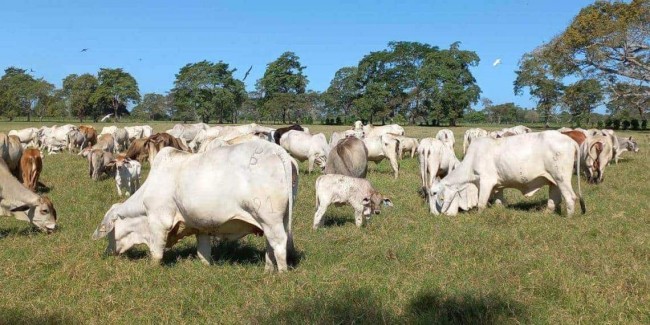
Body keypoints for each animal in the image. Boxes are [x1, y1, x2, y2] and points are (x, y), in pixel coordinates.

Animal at [90, 141, 294, 270]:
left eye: (110, 233)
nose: (109, 252)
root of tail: (276, 150)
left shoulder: (159, 221)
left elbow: (156, 253)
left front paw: (152, 268)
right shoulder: (201, 227)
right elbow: (203, 253)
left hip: (270, 218)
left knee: (279, 243)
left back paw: (281, 274)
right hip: (275, 221)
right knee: (270, 245)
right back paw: (267, 270)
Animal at [428, 130, 584, 216]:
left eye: (434, 193)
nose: (435, 214)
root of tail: (569, 140)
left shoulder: (486, 182)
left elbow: (481, 204)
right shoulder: (498, 186)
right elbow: (498, 202)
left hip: (562, 178)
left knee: (570, 197)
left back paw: (569, 218)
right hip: (554, 181)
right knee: (554, 200)